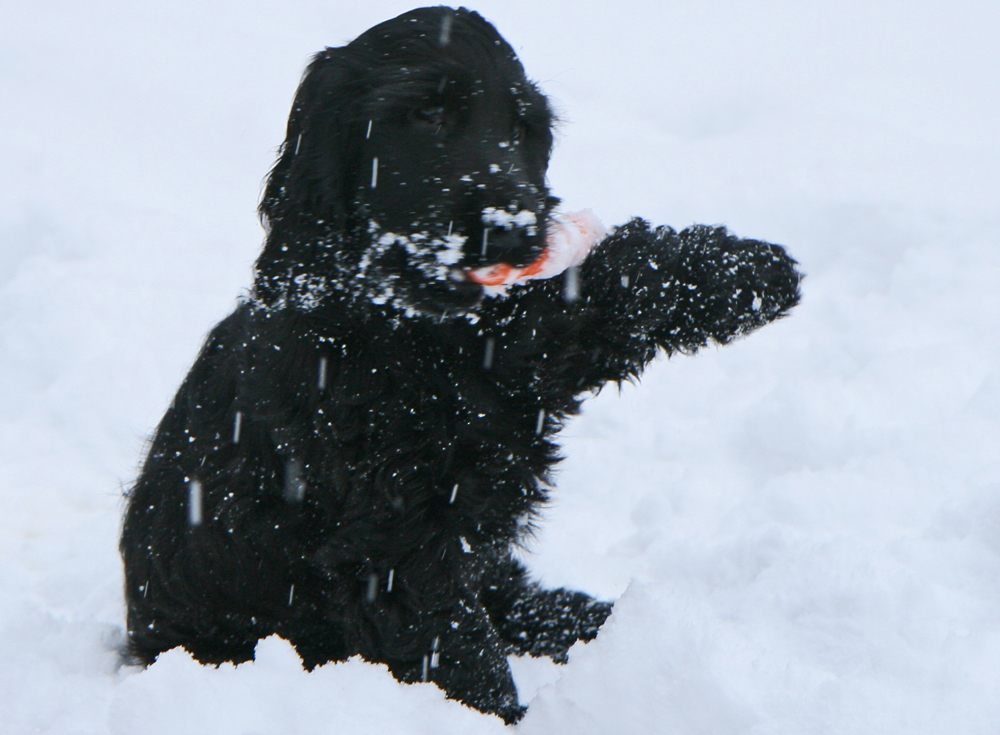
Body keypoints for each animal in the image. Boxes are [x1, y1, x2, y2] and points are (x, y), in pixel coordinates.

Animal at [119, 5, 804, 724]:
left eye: (523, 127)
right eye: (427, 114)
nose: (514, 229)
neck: (414, 333)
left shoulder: (526, 348)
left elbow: (608, 280)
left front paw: (744, 269)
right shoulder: (395, 555)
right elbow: (462, 656)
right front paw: (512, 718)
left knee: (512, 594)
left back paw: (597, 620)